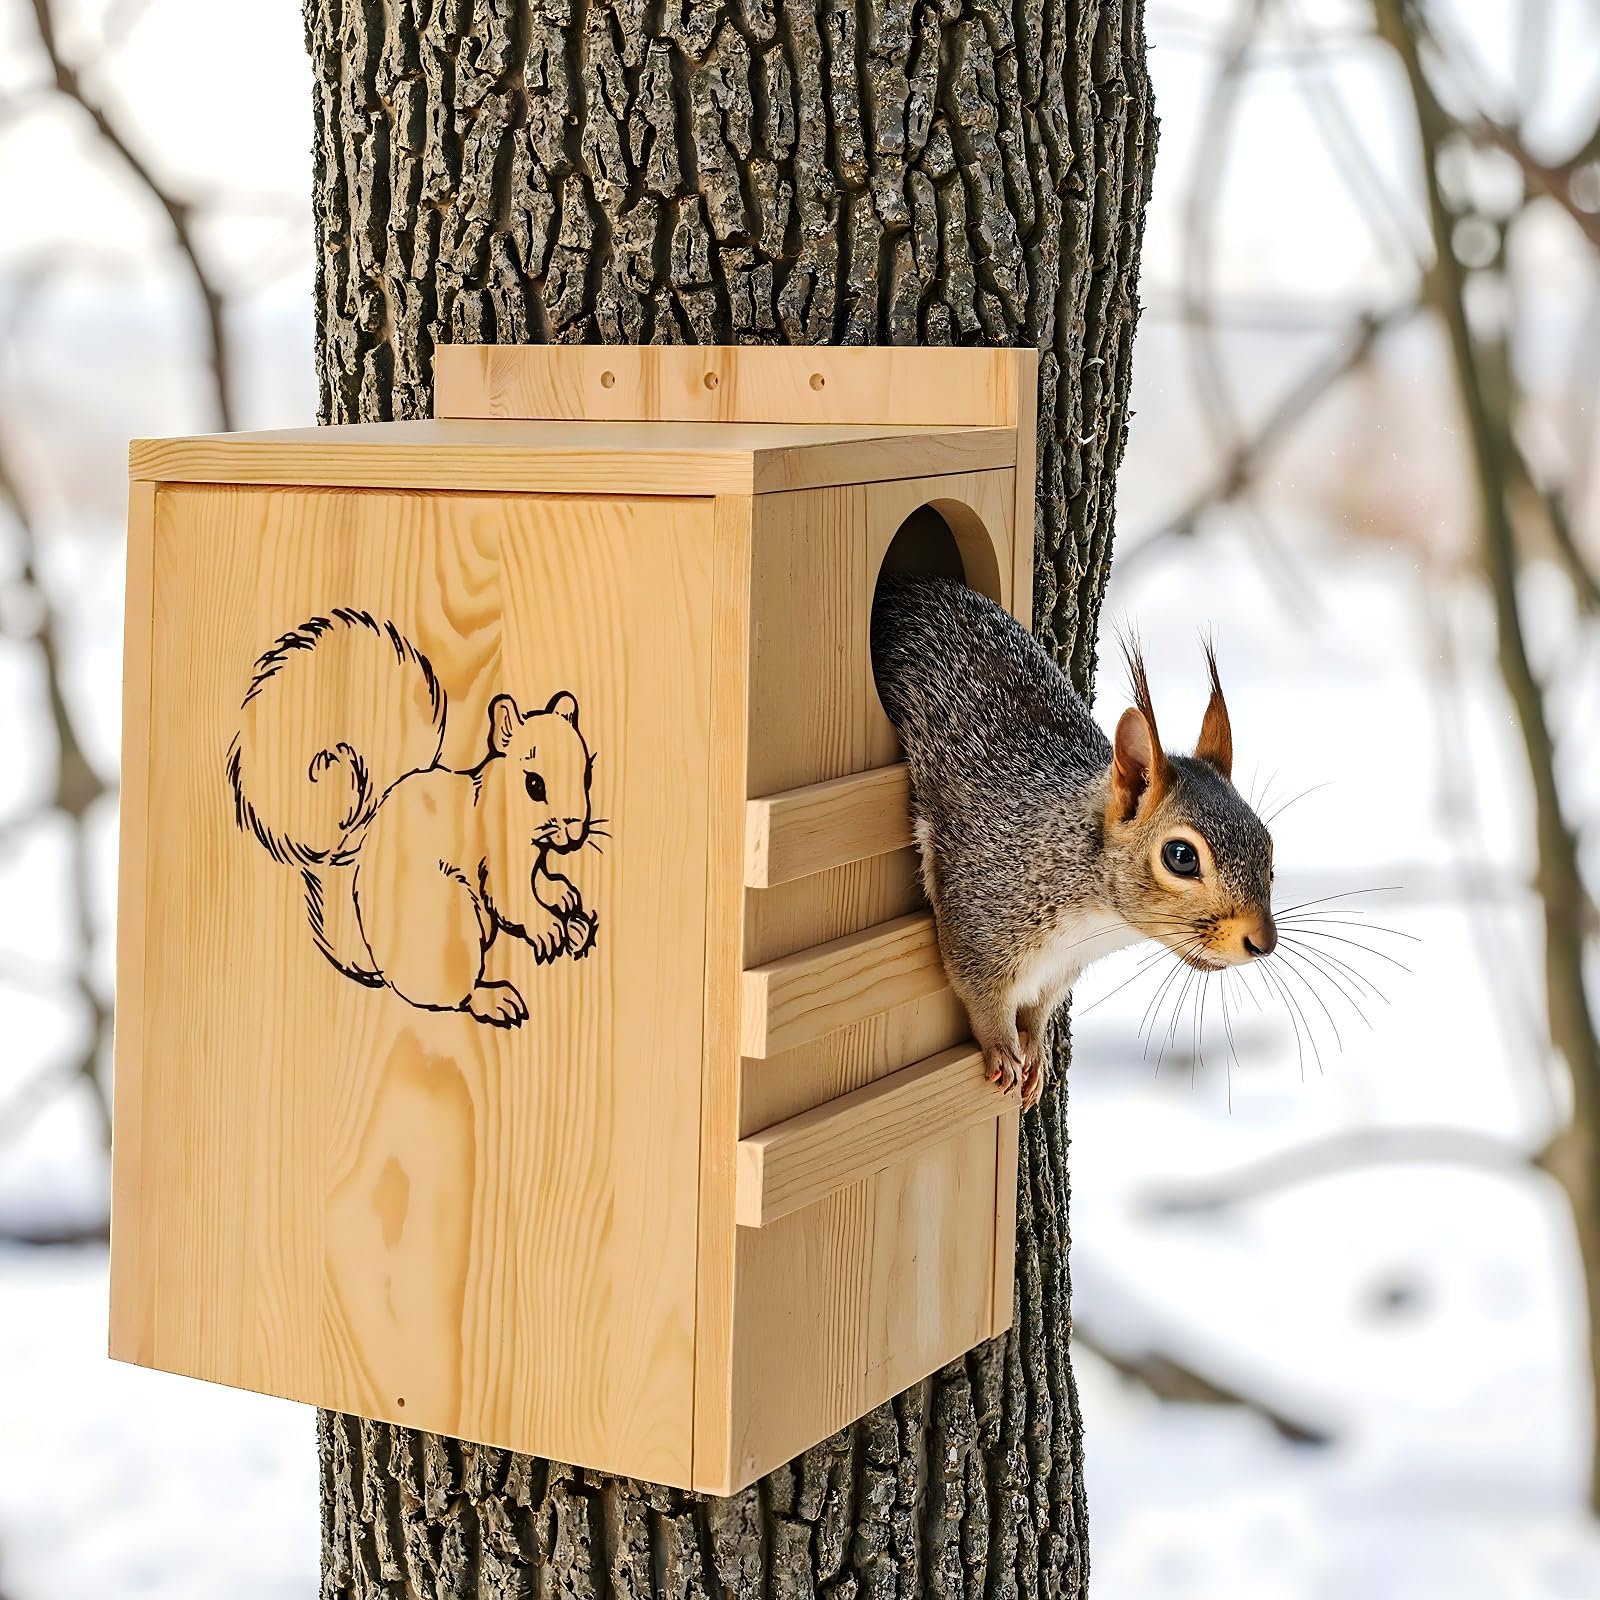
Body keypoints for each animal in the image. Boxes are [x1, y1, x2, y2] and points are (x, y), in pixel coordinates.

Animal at [225, 609, 599, 1029]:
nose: (575, 831)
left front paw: (563, 896)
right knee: (455, 996)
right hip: (452, 921)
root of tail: (379, 965)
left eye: (586, 774)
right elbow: (512, 900)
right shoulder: (497, 856)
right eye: (534, 784)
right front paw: (547, 926)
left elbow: (540, 880)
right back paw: (495, 998)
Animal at [871, 574, 1276, 1108]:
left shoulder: (1061, 971)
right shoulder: (980, 912)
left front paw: (1036, 1051)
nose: (1263, 942)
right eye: (1181, 856)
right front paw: (1004, 1049)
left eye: (1269, 849)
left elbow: (1038, 1009)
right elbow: (979, 992)